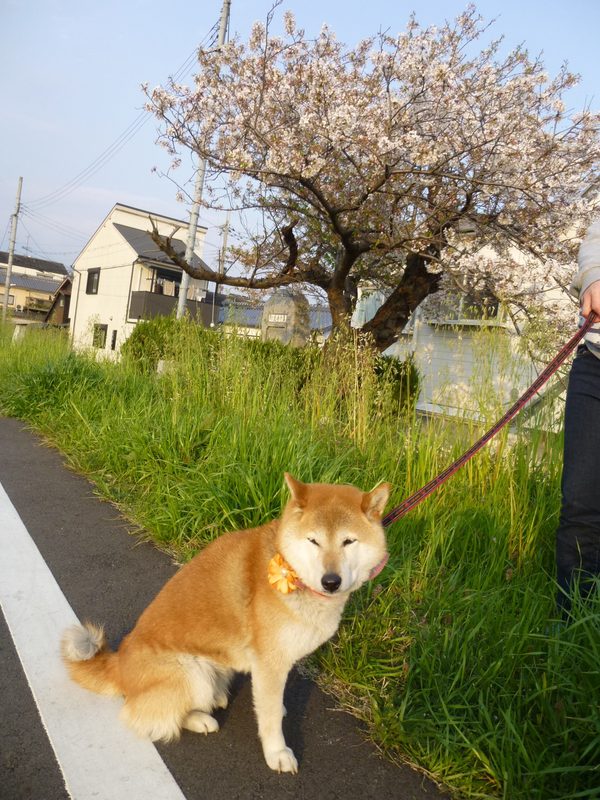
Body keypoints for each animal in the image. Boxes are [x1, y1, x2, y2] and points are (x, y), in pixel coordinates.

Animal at [61, 476, 390, 776]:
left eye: (349, 541)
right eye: (314, 541)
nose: (331, 581)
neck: (291, 571)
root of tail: (119, 663)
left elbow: (272, 701)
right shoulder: (270, 661)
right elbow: (270, 717)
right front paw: (277, 752)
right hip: (191, 672)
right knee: (142, 716)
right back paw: (199, 718)